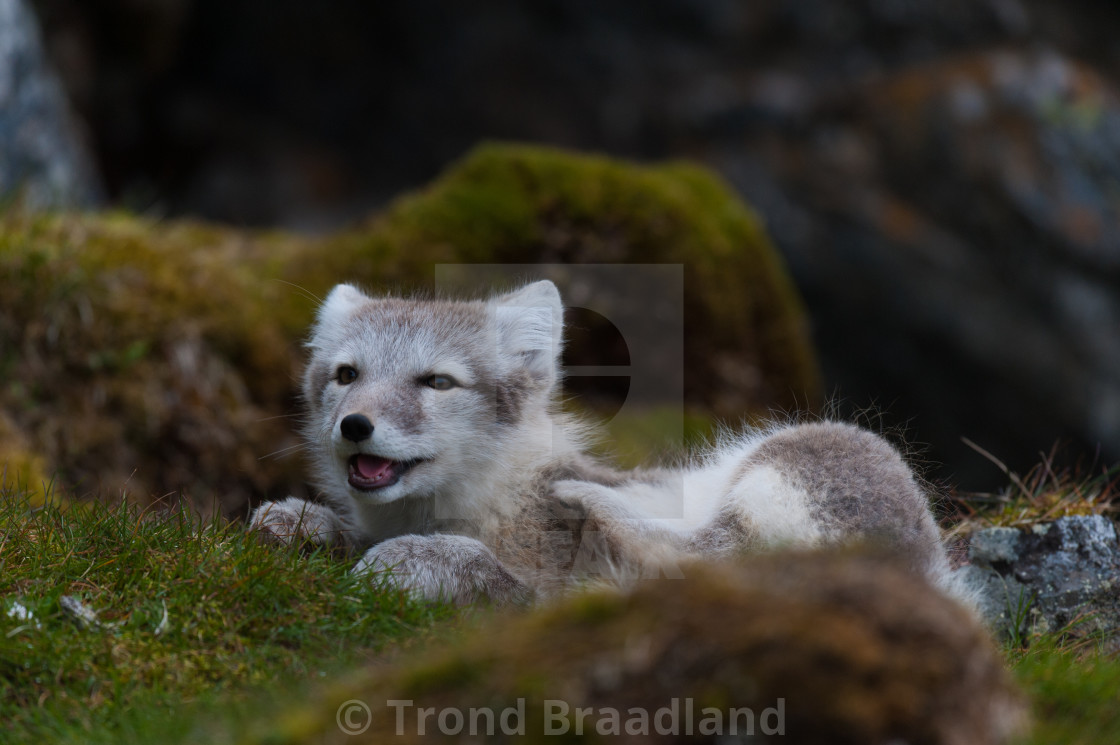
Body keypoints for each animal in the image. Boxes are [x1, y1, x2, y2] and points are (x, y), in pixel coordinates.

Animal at [249, 278, 958, 604]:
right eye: (347, 375)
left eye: (437, 382)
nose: (355, 425)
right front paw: (303, 523)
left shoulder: (541, 588)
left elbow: (496, 576)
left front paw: (408, 559)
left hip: (808, 451)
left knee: (701, 557)